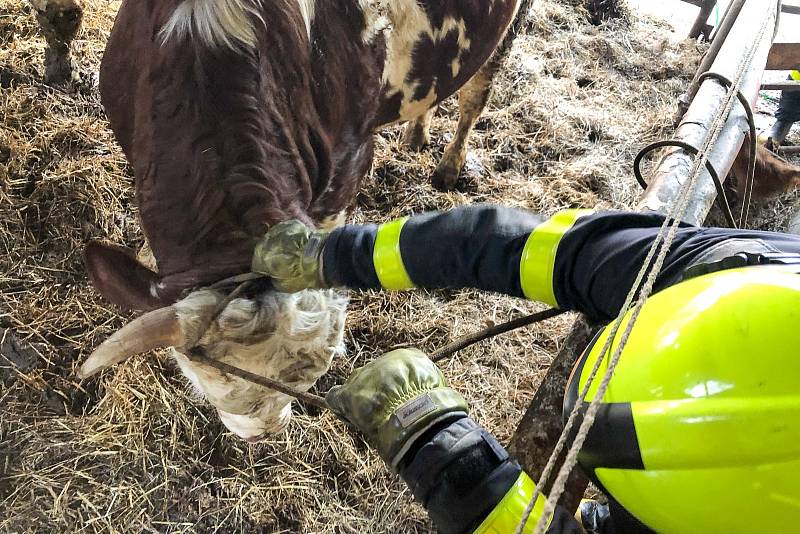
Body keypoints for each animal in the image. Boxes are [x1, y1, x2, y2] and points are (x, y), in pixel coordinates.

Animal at [79, 0, 532, 444]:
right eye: (207, 381)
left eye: (306, 381)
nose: (265, 434)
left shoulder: (349, 162)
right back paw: (417, 134)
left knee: (476, 93)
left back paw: (449, 167)